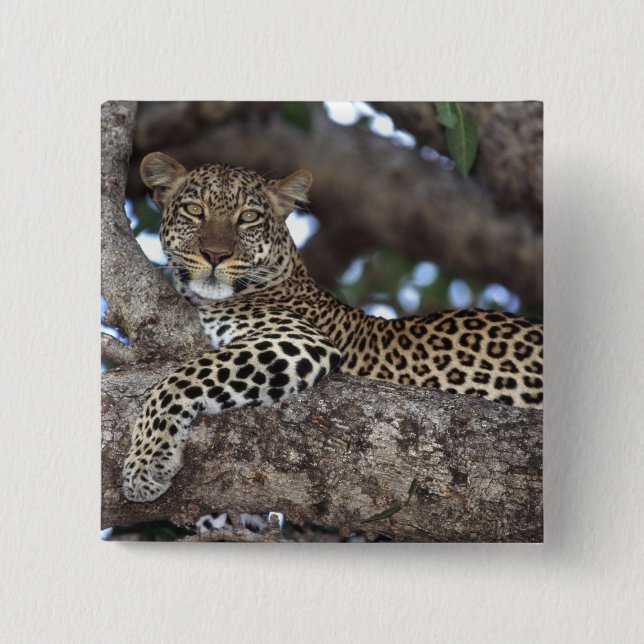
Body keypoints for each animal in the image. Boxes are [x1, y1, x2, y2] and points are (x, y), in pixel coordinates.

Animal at [122, 152, 543, 503]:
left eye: (248, 217)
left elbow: (180, 379)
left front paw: (144, 465)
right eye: (194, 210)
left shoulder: (298, 340)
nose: (215, 255)